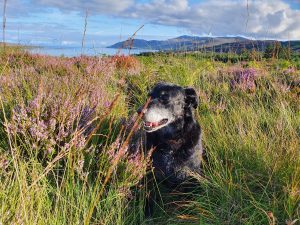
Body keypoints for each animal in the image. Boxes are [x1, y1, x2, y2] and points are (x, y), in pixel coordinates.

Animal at [131, 82, 204, 216]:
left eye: (164, 98)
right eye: (149, 96)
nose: (139, 111)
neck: (170, 142)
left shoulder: (192, 175)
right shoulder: (149, 173)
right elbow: (148, 195)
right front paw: (147, 212)